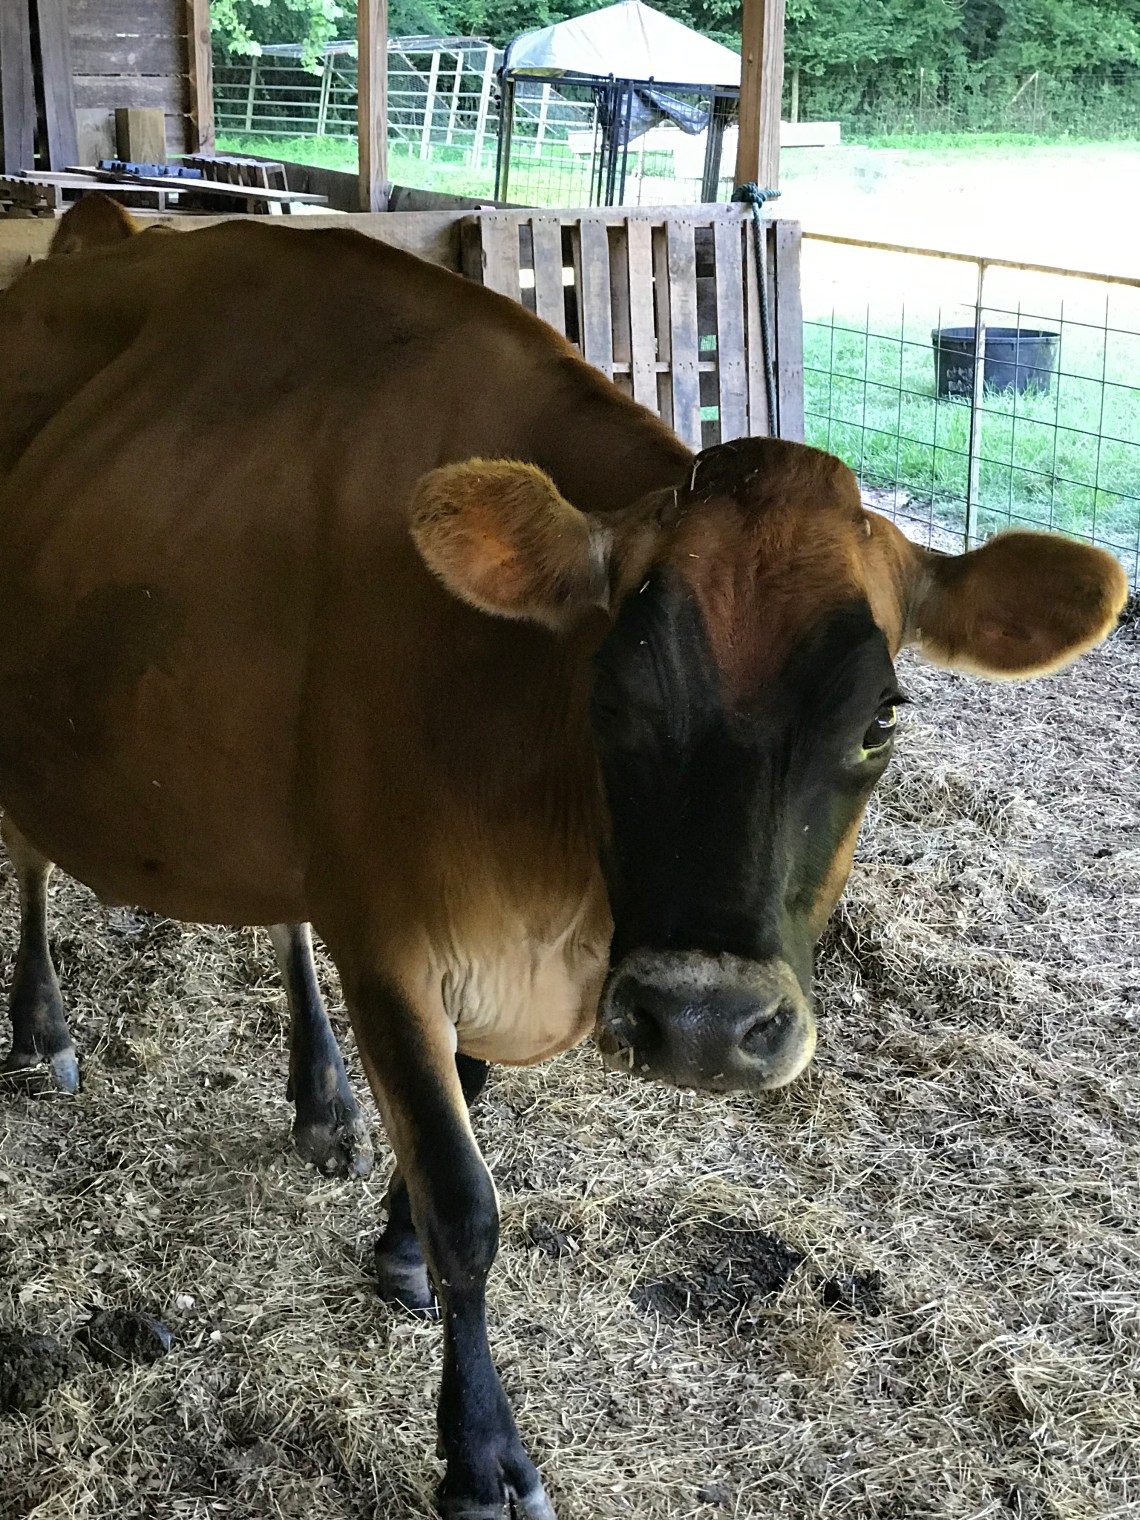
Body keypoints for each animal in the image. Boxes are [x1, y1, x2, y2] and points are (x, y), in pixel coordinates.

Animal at [0, 197, 1125, 1518]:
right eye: (612, 690)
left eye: (882, 718)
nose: (702, 1023)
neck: (553, 889)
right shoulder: (387, 935)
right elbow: (466, 1198)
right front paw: (482, 1452)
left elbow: (465, 1107)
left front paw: (389, 1237)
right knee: (28, 859)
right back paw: (41, 1026)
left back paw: (320, 1095)